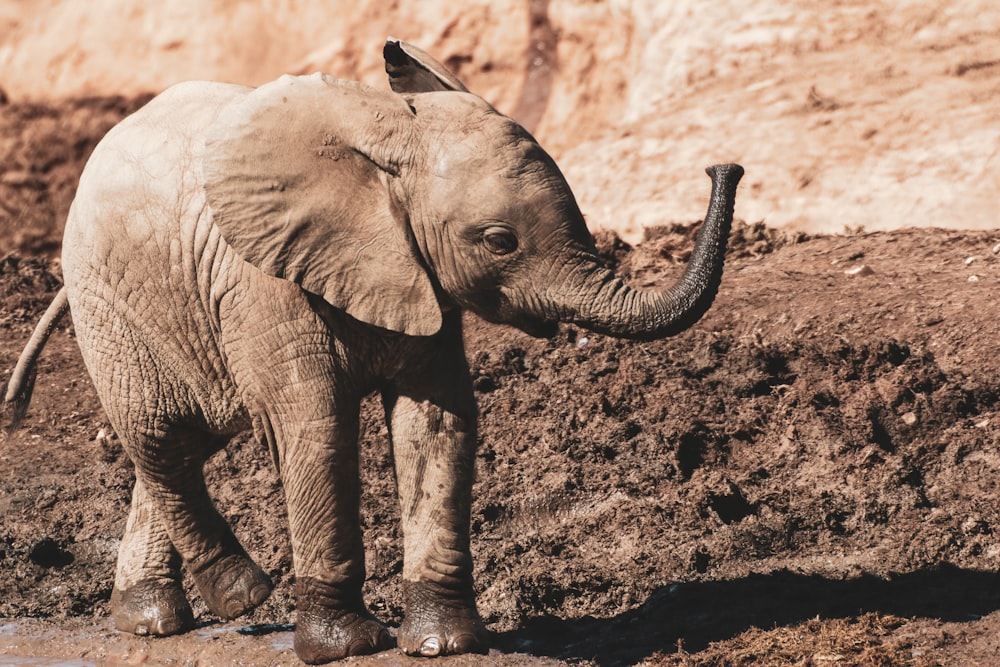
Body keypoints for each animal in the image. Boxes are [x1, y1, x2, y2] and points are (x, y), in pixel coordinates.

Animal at [1, 40, 744, 664]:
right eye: (499, 241)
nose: (725, 165)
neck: (387, 139)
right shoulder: (268, 283)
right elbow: (317, 430)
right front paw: (346, 647)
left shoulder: (416, 279)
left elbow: (438, 423)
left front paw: (444, 644)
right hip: (108, 300)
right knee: (161, 437)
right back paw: (240, 596)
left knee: (182, 444)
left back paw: (152, 620)